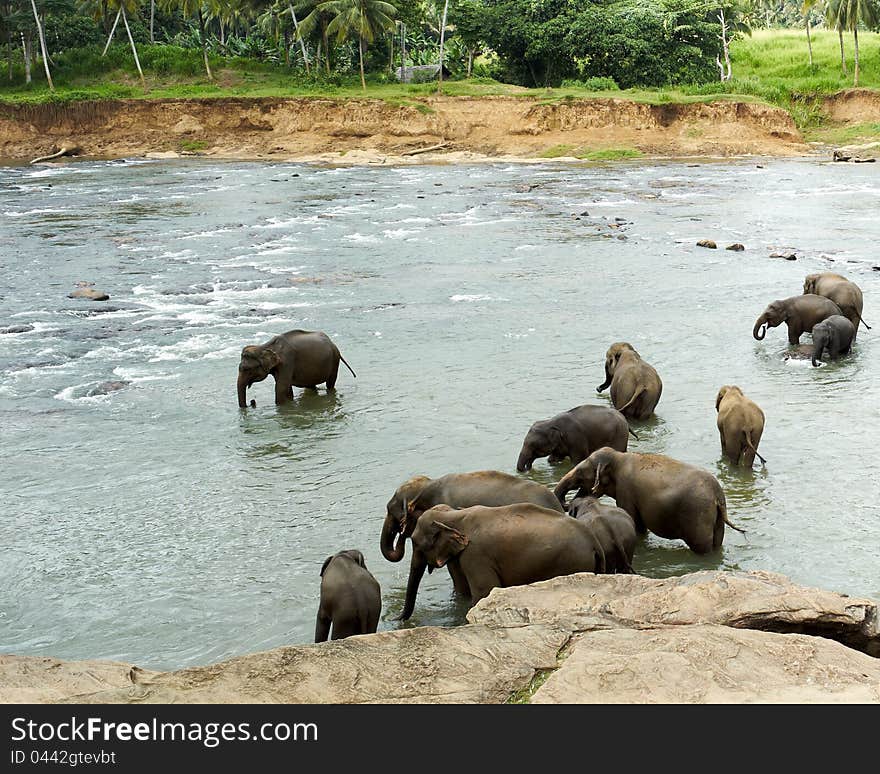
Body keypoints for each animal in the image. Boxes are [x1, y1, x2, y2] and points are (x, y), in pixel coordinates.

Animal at [398, 504, 604, 624]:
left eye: (416, 543)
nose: (398, 619)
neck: (454, 515)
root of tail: (594, 541)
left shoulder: (476, 555)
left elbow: (484, 591)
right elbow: (462, 591)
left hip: (573, 561)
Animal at [556, 446, 744, 556]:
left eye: (580, 474)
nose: (567, 503)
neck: (619, 457)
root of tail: (717, 493)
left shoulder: (626, 491)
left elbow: (636, 523)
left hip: (698, 515)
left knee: (701, 546)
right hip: (715, 517)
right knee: (717, 542)